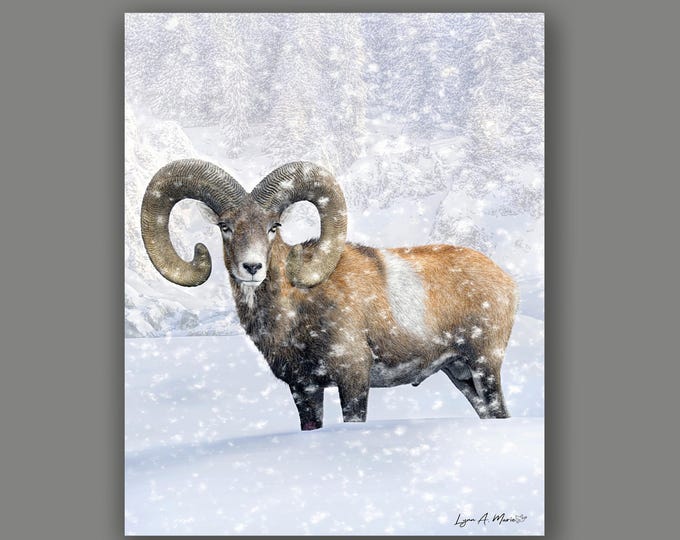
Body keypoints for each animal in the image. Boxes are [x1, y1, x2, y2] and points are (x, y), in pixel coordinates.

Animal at [141, 159, 518, 430]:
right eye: (225, 226)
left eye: (273, 226)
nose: (252, 267)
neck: (295, 312)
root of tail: (507, 281)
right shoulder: (304, 389)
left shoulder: (354, 380)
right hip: (461, 375)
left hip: (484, 365)